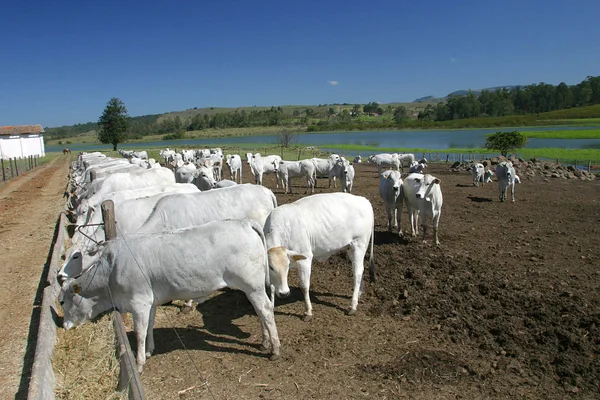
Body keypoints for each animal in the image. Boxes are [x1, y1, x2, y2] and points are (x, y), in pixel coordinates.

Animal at [61, 219, 284, 372]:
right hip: (252, 288)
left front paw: (139, 363)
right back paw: (265, 342)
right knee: (260, 311)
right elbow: (149, 326)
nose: (64, 326)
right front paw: (149, 350)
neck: (110, 270)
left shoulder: (138, 302)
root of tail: (244, 222)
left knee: (265, 309)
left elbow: (140, 332)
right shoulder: (149, 302)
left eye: (62, 301)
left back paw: (275, 349)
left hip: (252, 286)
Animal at [264, 192, 376, 320]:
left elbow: (304, 285)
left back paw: (353, 306)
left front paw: (308, 312)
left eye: (287, 266)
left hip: (359, 245)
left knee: (357, 272)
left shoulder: (305, 258)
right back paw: (359, 294)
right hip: (350, 248)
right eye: (271, 267)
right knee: (360, 269)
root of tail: (364, 200)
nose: (284, 293)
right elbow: (272, 285)